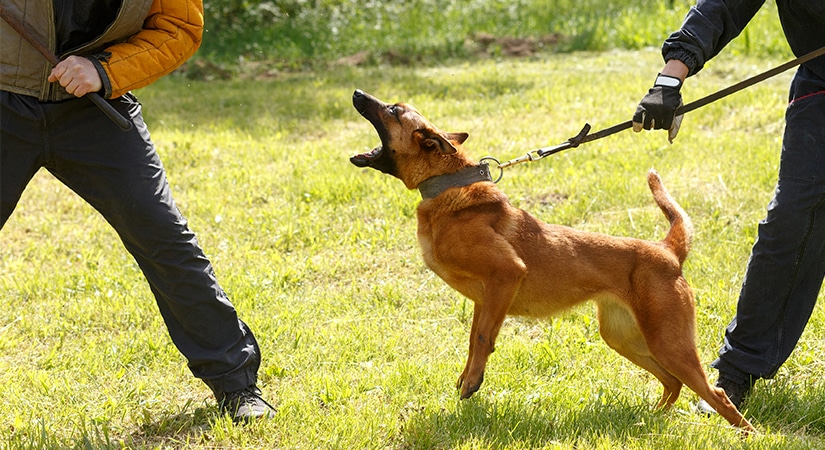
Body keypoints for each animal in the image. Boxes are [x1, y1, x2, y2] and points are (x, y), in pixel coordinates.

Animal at [348, 89, 752, 432]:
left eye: (393, 110)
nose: (357, 94)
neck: (449, 187)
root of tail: (667, 251)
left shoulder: (506, 274)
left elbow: (482, 337)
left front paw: (474, 381)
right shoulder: (485, 299)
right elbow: (474, 339)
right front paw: (467, 378)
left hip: (669, 341)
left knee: (714, 392)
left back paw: (748, 434)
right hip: (625, 337)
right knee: (672, 382)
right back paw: (648, 420)